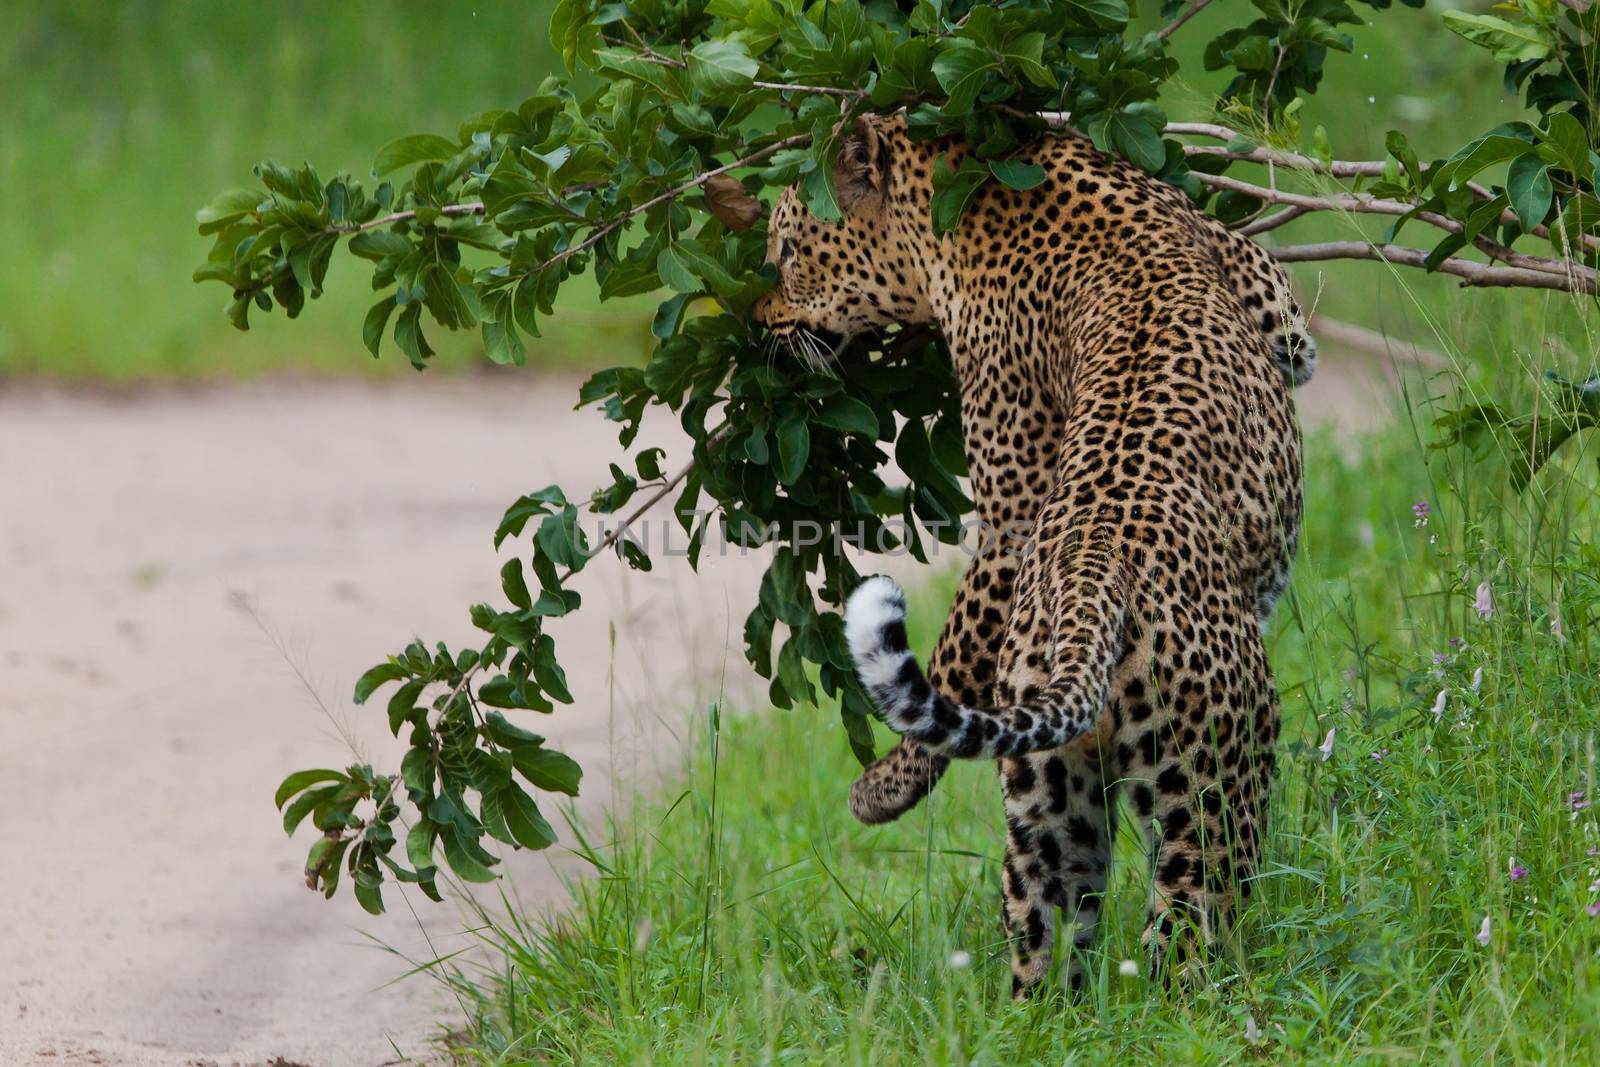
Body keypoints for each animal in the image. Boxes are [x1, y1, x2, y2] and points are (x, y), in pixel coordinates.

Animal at [755, 112, 1305, 998]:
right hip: (1215, 778)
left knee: (1046, 944)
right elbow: (954, 644)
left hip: (1051, 801)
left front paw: (880, 787)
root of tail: (1090, 588)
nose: (760, 320)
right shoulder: (1015, 506)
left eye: (789, 250)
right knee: (1187, 938)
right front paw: (883, 790)